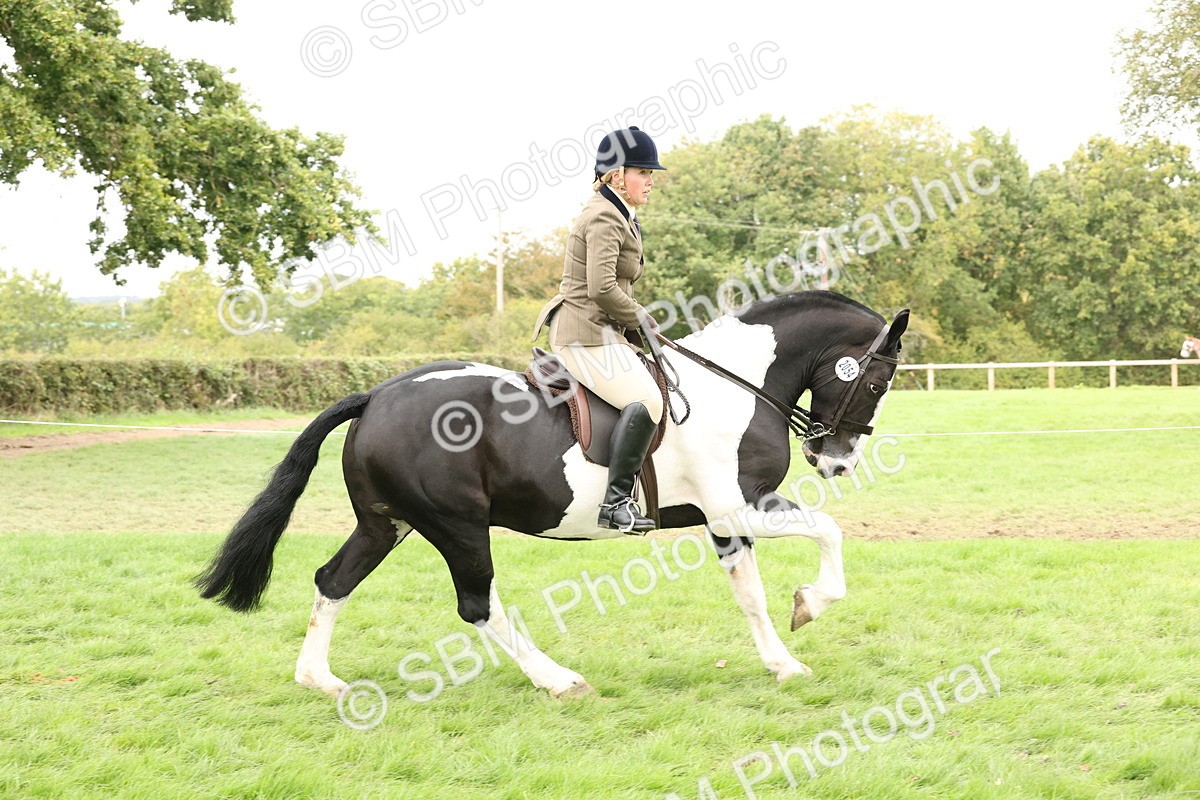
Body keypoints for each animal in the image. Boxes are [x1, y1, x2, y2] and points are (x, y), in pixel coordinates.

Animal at [197, 290, 909, 698]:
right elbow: (828, 532)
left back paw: (318, 679)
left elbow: (751, 596)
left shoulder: (723, 518)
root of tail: (377, 395)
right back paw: (557, 679)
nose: (836, 461)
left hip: (386, 523)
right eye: (878, 382)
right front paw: (811, 604)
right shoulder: (739, 505)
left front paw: (783, 662)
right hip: (457, 525)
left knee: (333, 579)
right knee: (477, 605)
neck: (736, 385)